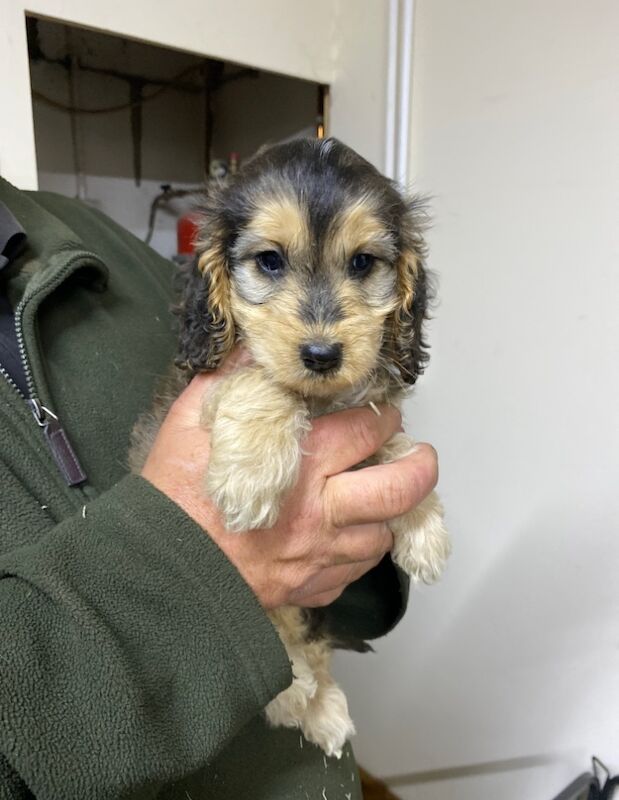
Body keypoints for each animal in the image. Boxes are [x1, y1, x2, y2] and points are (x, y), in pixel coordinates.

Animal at [131, 139, 450, 764]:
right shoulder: (200, 387)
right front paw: (251, 477)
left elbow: (394, 440)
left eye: (362, 263)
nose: (323, 354)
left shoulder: (369, 408)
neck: (320, 399)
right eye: (271, 261)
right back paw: (294, 691)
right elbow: (261, 376)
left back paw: (324, 707)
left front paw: (424, 526)